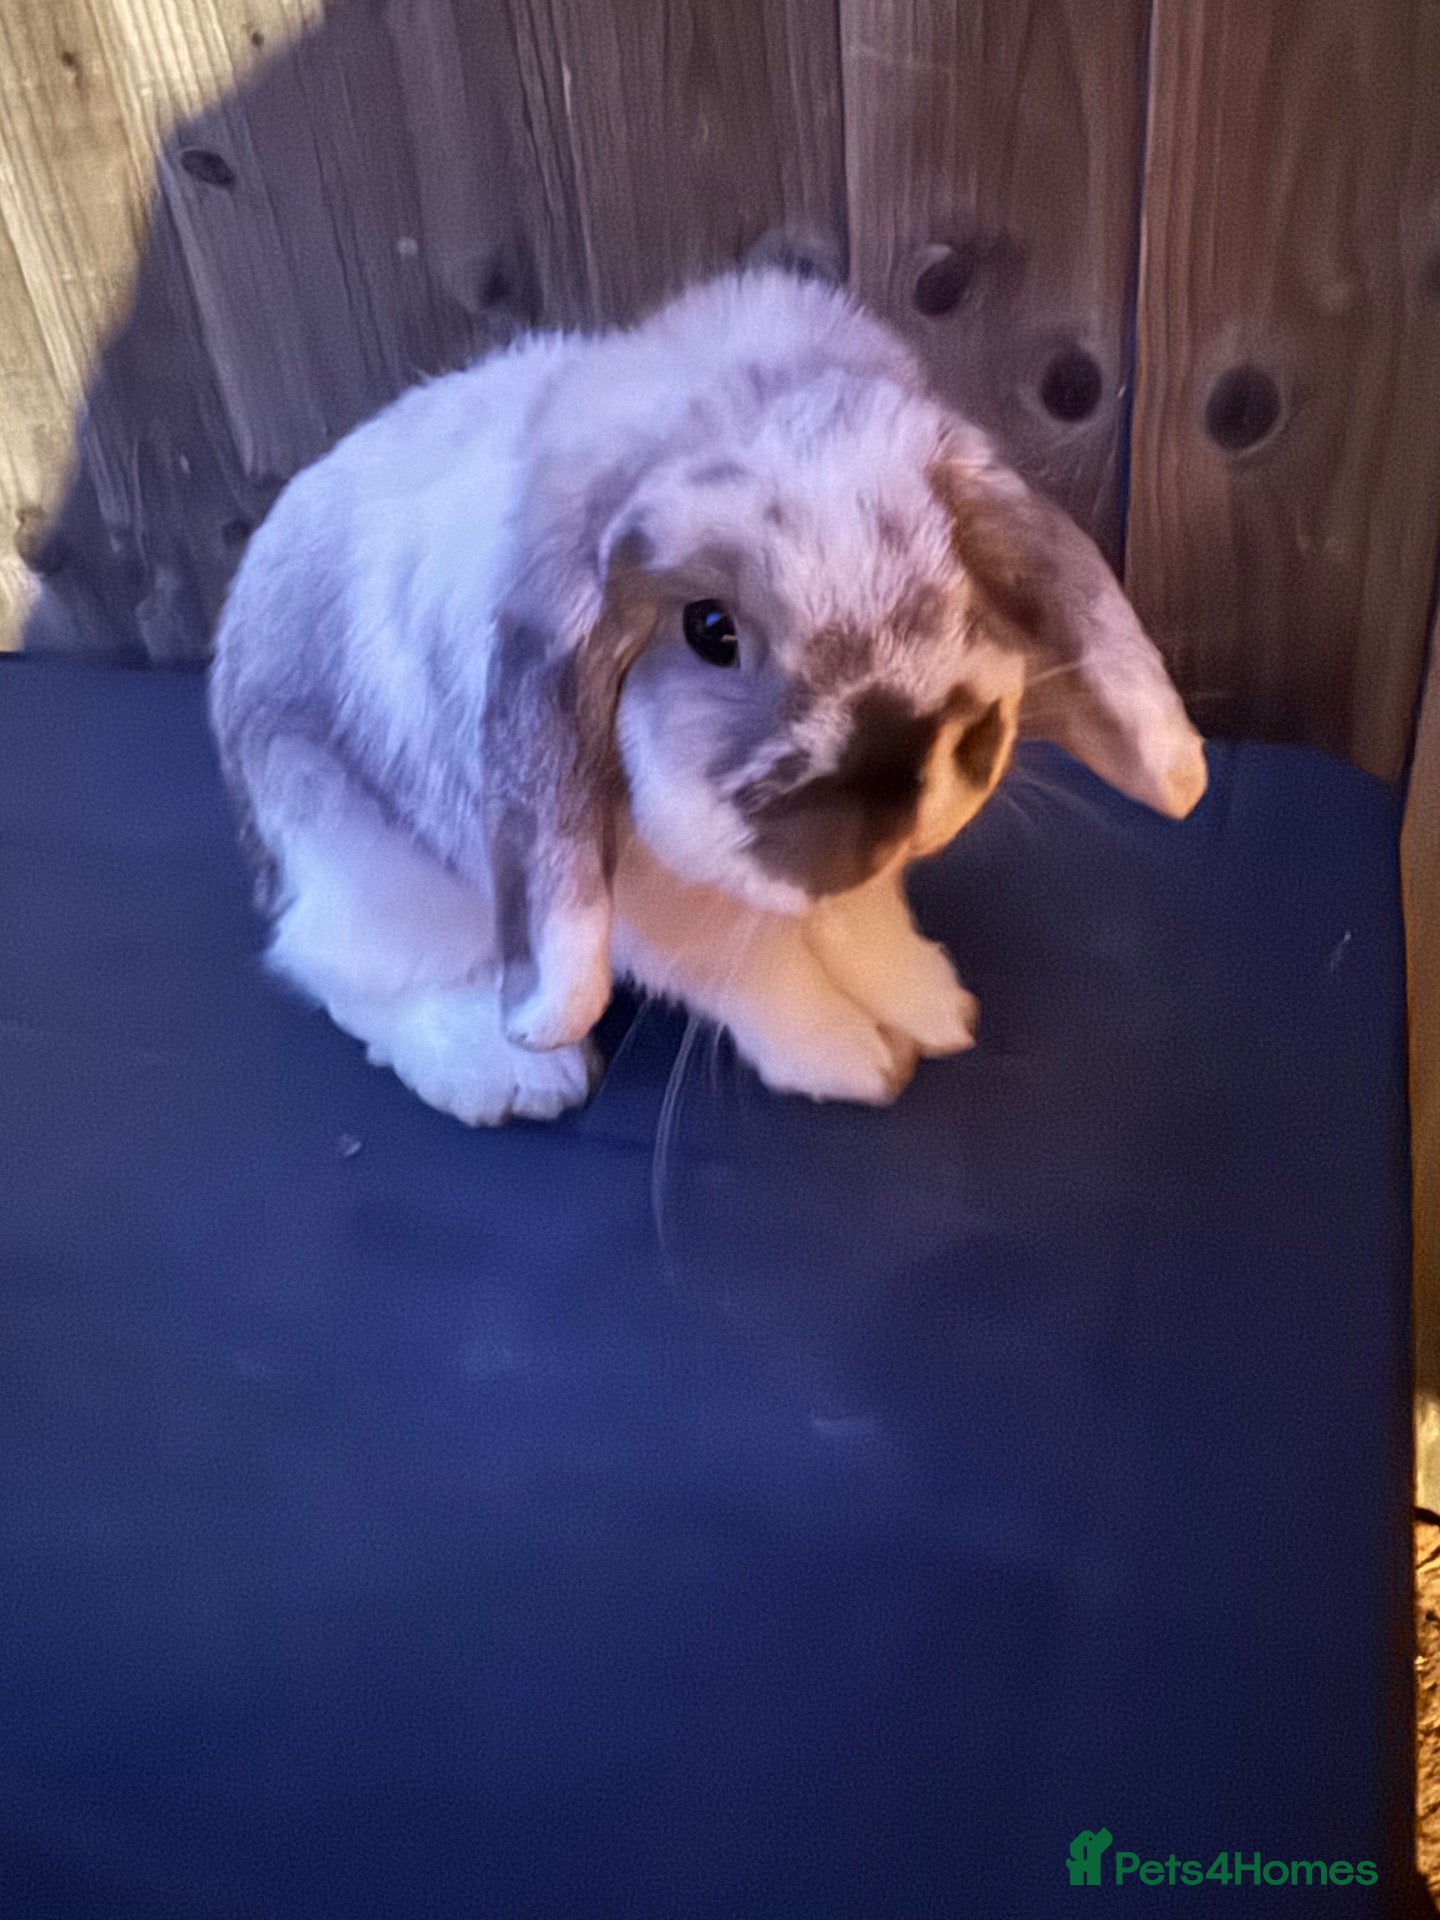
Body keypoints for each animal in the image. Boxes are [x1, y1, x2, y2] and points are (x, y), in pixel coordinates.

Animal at [208, 267, 1206, 1126]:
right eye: (710, 630)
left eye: (956, 561)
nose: (911, 764)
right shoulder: (664, 908)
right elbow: (762, 977)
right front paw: (857, 1059)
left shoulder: (834, 876)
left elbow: (862, 915)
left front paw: (931, 1006)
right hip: (373, 873)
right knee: (342, 975)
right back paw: (511, 1074)